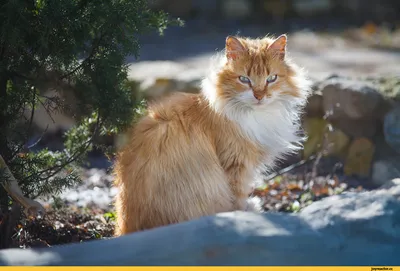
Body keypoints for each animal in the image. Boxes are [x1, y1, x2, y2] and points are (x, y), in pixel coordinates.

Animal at [114, 34, 310, 236]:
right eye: (244, 79)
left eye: (271, 78)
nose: (259, 96)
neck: (255, 115)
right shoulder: (236, 165)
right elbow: (238, 200)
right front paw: (243, 217)